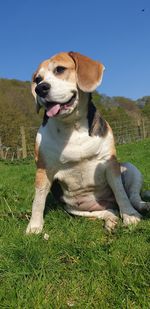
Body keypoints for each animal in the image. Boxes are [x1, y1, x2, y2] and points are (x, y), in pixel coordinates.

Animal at [26, 51, 149, 232]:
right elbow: (38, 199)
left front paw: (129, 215)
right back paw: (110, 220)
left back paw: (141, 205)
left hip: (130, 168)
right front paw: (34, 226)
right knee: (107, 212)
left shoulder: (109, 163)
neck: (73, 126)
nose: (40, 88)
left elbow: (120, 192)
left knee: (132, 195)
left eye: (60, 69)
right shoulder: (43, 169)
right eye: (37, 79)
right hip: (74, 209)